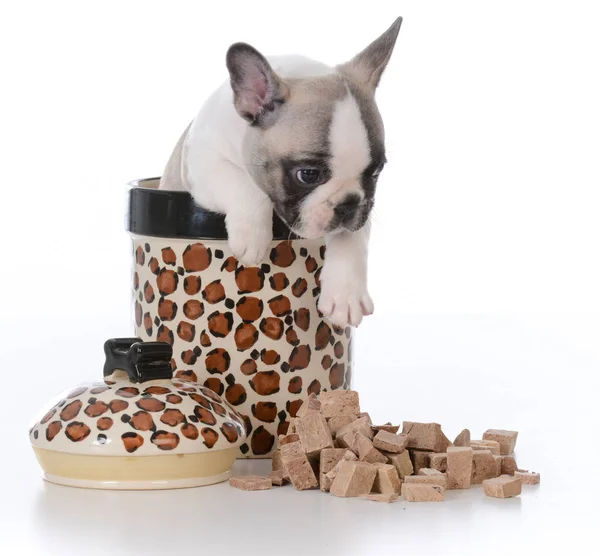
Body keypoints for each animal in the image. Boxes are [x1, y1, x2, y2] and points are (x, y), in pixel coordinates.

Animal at [159, 19, 404, 328]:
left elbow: (353, 237)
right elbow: (243, 185)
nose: (347, 204)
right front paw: (252, 236)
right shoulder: (201, 159)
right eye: (308, 175)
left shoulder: (362, 211)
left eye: (376, 172)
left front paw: (346, 293)